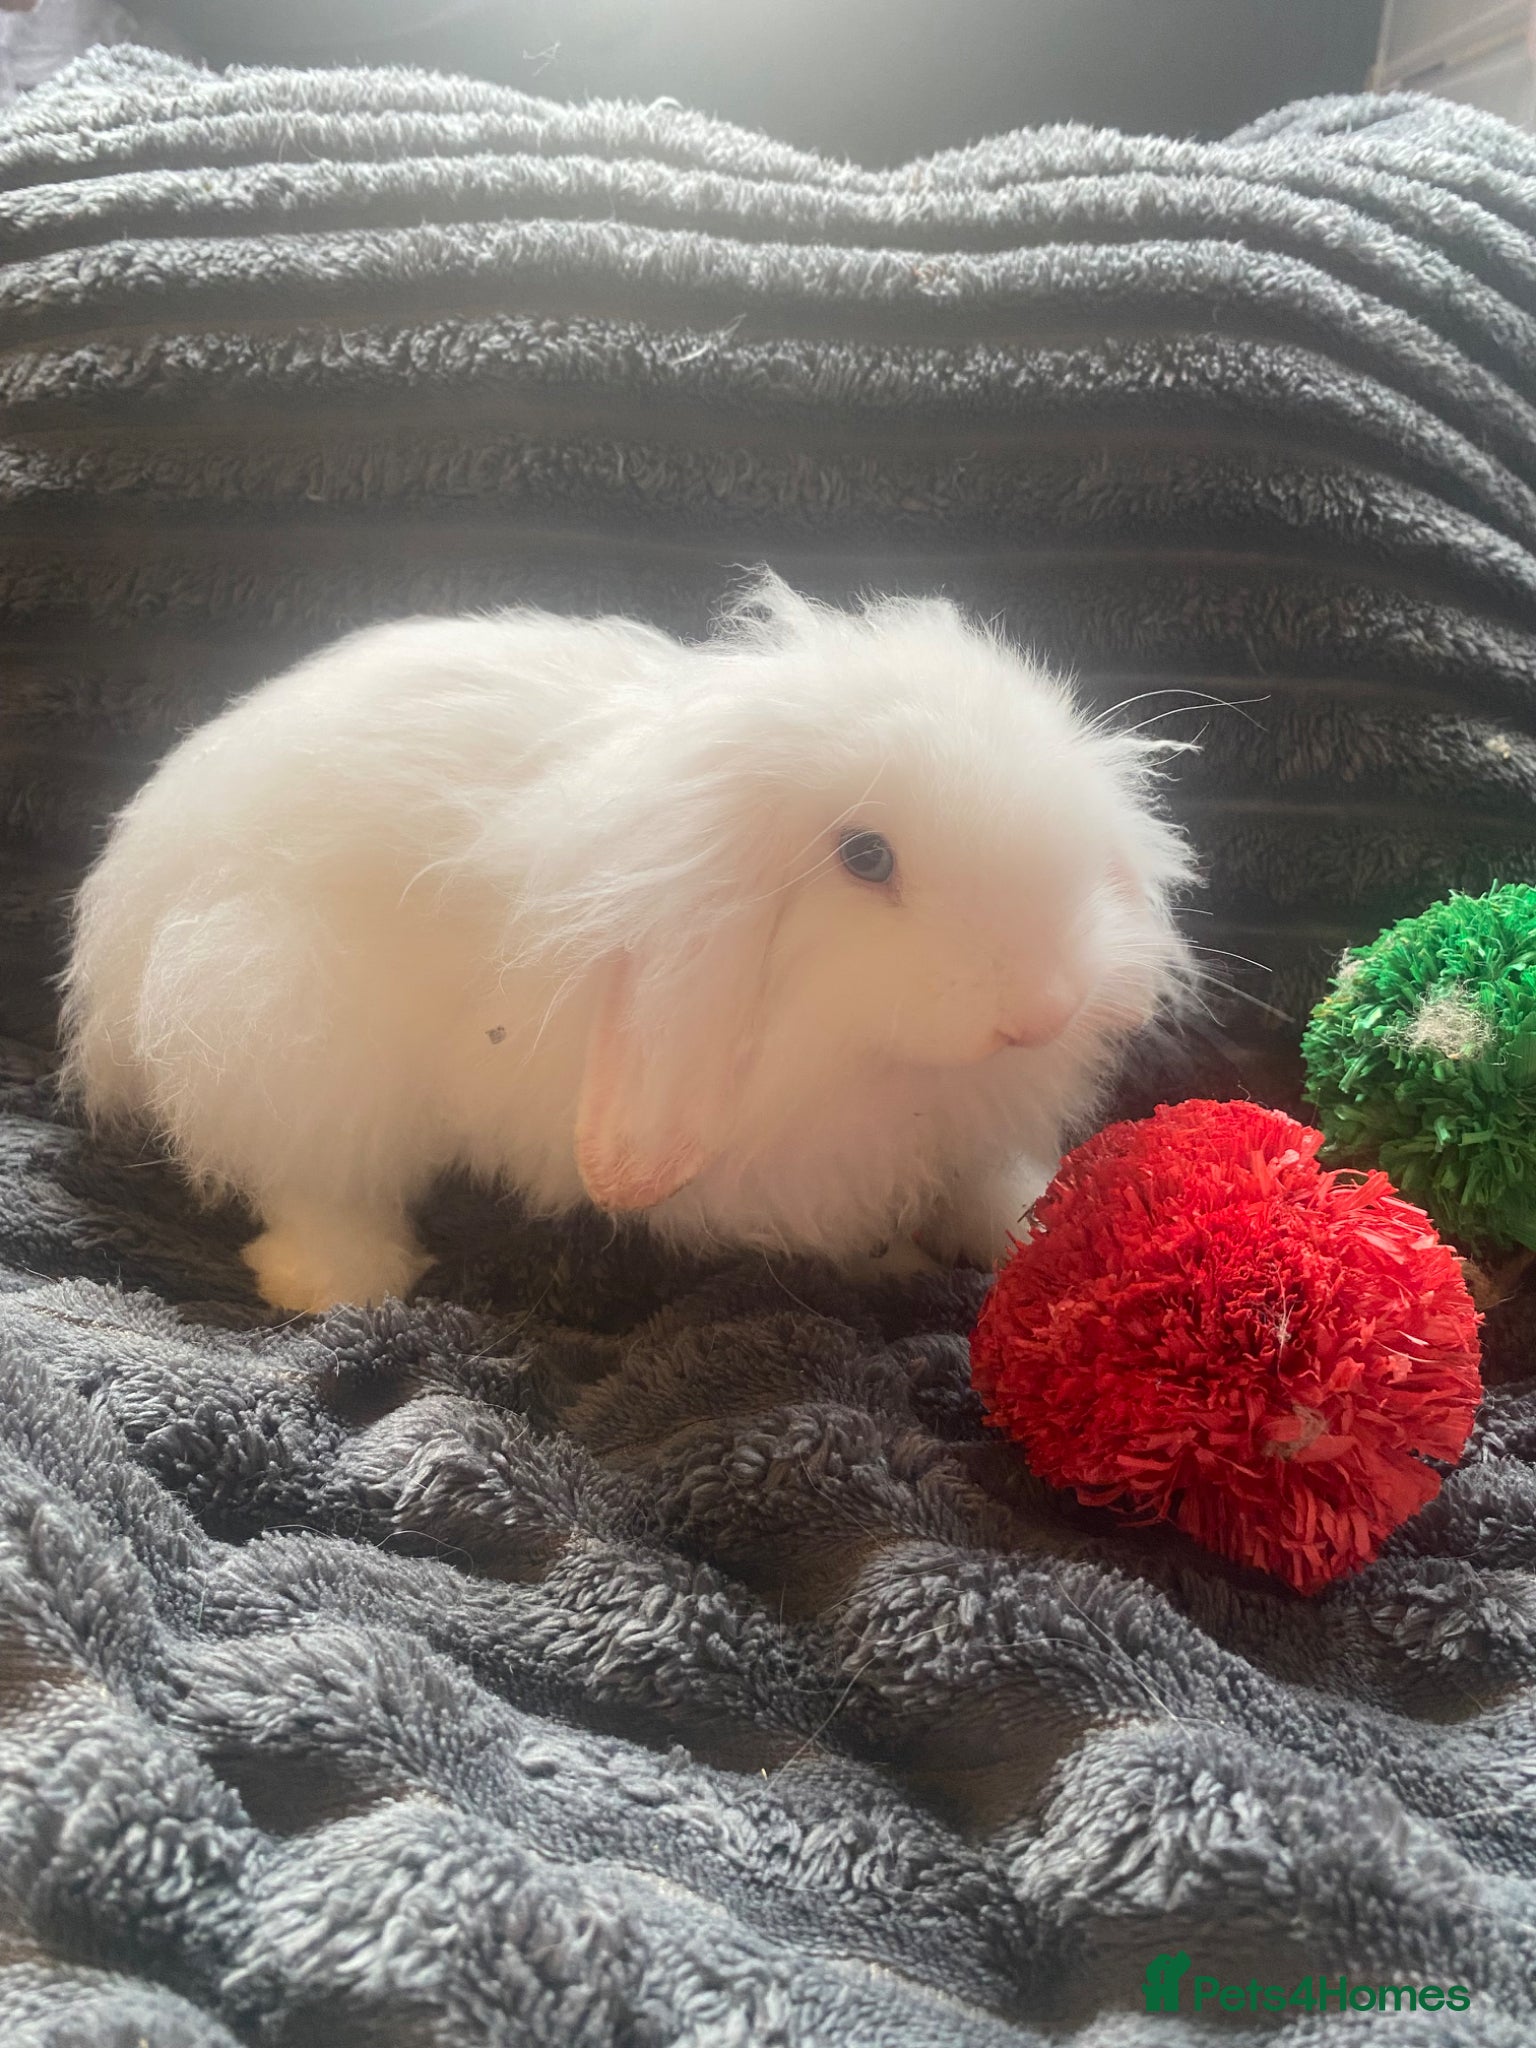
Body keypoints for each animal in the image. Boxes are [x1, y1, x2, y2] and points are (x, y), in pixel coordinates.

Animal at [60, 572, 1196, 1313]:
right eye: (866, 857)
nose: (1043, 1006)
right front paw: (896, 1267)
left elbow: (991, 1184)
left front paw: (1027, 1233)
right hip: (277, 1022)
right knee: (311, 1179)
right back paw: (338, 1285)